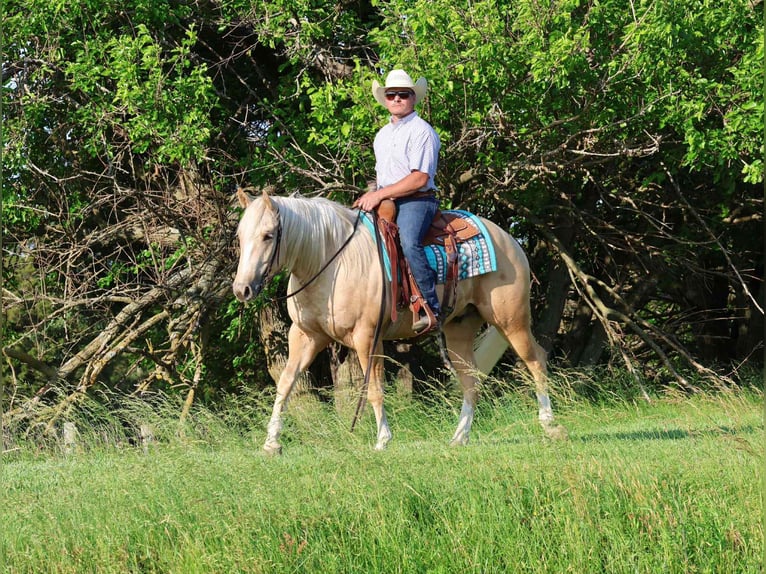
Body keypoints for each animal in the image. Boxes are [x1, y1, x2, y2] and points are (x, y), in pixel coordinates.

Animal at [232, 189, 567, 453]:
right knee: (471, 382)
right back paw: (459, 438)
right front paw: (271, 443)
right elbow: (286, 383)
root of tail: (508, 239)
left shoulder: (367, 337)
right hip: (459, 330)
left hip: (511, 320)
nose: (242, 289)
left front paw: (382, 439)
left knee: (535, 360)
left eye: (268, 235)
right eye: (240, 236)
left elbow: (374, 388)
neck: (332, 261)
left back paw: (550, 426)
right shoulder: (305, 336)